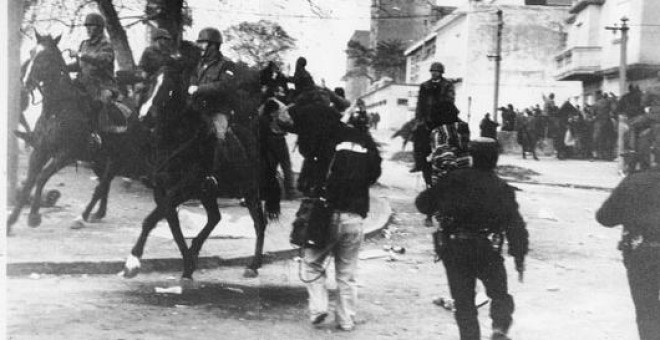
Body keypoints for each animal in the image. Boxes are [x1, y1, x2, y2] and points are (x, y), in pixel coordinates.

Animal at [7, 32, 150, 234]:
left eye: (45, 56)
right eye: (31, 52)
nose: (26, 82)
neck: (57, 108)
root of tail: (135, 117)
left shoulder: (65, 155)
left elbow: (42, 177)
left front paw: (34, 217)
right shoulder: (40, 151)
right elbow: (29, 181)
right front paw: (11, 220)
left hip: (115, 160)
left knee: (102, 185)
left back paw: (81, 217)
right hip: (99, 161)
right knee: (103, 185)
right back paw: (98, 213)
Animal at [120, 51, 280, 278]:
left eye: (170, 89)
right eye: (151, 83)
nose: (145, 116)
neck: (178, 138)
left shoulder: (183, 188)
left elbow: (152, 220)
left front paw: (133, 261)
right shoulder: (163, 190)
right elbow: (172, 225)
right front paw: (188, 265)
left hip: (250, 191)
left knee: (259, 223)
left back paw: (254, 265)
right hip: (209, 193)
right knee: (215, 217)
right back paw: (196, 249)